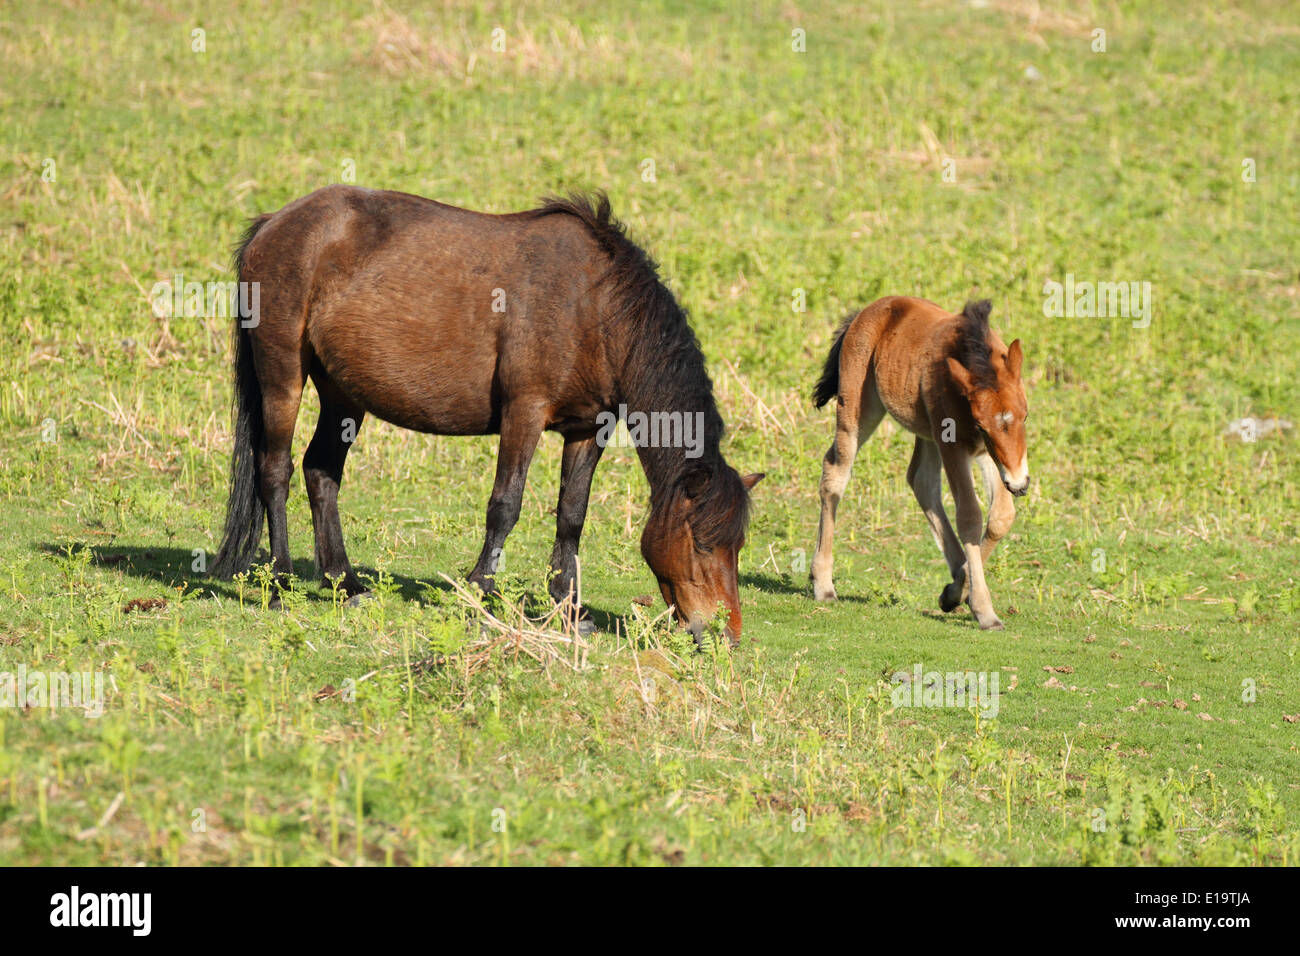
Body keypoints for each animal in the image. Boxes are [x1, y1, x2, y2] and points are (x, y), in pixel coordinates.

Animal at [209, 185, 763, 643]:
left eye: (737, 547)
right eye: (704, 544)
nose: (726, 634)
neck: (593, 305)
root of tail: (274, 222)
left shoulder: (588, 429)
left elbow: (571, 516)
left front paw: (569, 609)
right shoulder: (525, 413)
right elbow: (505, 506)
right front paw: (479, 591)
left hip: (343, 396)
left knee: (320, 471)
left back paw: (346, 583)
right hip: (283, 376)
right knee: (274, 471)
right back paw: (280, 583)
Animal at [809, 296, 1029, 630]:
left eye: (1025, 415)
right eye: (982, 426)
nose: (1019, 483)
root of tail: (868, 311)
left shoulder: (985, 453)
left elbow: (1001, 517)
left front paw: (956, 591)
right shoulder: (956, 445)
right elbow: (970, 516)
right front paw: (984, 611)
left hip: (926, 431)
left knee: (921, 482)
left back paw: (955, 583)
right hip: (858, 411)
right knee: (835, 473)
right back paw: (823, 584)